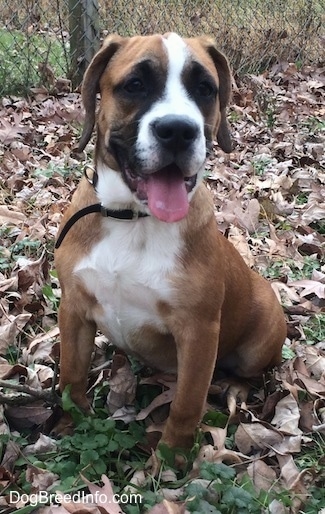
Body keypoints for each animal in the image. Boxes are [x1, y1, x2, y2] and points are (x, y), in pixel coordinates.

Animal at [55, 32, 286, 448]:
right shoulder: (75, 309)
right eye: (135, 84)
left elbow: (185, 407)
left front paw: (170, 457)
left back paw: (235, 389)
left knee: (250, 371)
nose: (178, 130)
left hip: (259, 341)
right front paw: (69, 428)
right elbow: (71, 376)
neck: (132, 218)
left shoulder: (198, 333)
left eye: (205, 89)